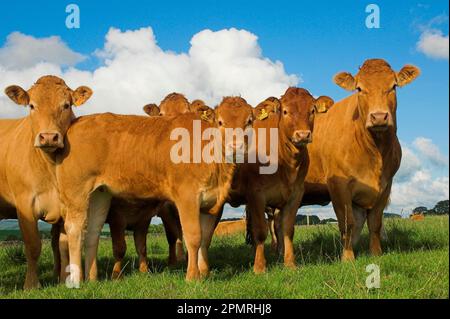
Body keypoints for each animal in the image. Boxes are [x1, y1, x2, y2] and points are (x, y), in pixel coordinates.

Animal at [0, 75, 92, 290]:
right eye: (32, 106)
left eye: (66, 105)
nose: (49, 137)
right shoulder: (25, 205)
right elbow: (33, 245)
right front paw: (31, 284)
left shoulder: (65, 205)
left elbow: (63, 245)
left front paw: (64, 279)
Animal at [56, 95, 253, 284]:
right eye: (220, 122)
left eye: (249, 121)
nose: (235, 146)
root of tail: (80, 120)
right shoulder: (187, 197)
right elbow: (194, 237)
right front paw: (192, 277)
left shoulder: (209, 202)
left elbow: (205, 239)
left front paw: (205, 272)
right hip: (76, 191)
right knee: (74, 229)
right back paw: (76, 279)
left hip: (100, 194)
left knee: (93, 231)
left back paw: (93, 278)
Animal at [229, 89, 334, 274]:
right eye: (285, 111)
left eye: (312, 110)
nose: (303, 134)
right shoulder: (256, 195)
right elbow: (260, 230)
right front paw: (259, 266)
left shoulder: (295, 195)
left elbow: (287, 229)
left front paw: (289, 262)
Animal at [300, 58, 420, 262]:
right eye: (359, 88)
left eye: (393, 86)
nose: (379, 117)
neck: (374, 151)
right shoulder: (338, 187)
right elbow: (347, 224)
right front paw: (348, 258)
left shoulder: (385, 186)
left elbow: (374, 223)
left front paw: (376, 253)